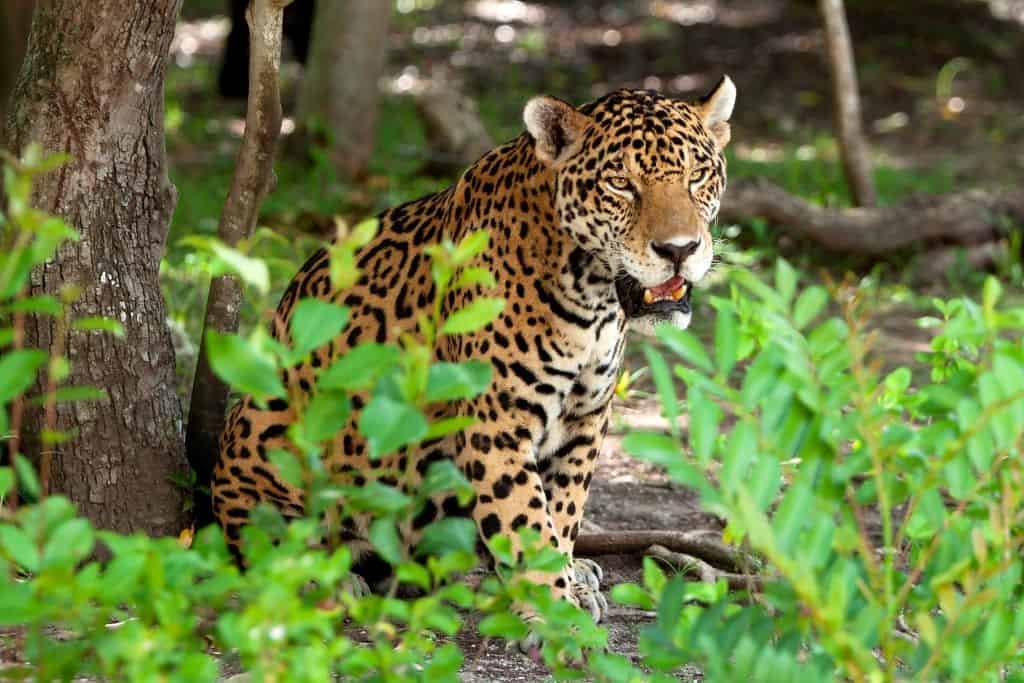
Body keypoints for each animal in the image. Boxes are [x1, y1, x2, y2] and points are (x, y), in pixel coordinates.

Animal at [212, 77, 736, 638]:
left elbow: (562, 508)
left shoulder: (587, 416)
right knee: (260, 543)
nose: (679, 250)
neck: (592, 292)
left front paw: (565, 580)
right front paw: (556, 612)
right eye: (620, 184)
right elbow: (527, 518)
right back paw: (319, 575)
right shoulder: (499, 422)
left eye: (697, 176)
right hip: (270, 426)